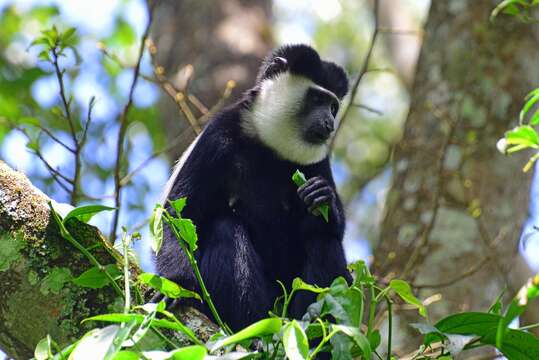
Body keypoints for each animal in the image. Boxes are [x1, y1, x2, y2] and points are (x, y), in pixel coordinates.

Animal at [156, 43, 352, 330]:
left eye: (333, 107)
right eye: (317, 99)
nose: (330, 124)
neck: (268, 145)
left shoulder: (316, 159)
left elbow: (332, 227)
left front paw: (321, 196)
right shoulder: (218, 136)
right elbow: (180, 215)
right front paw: (176, 286)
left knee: (324, 240)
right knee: (225, 228)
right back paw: (251, 328)